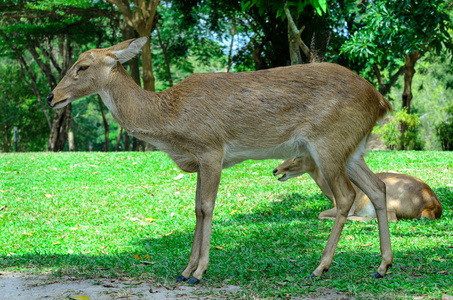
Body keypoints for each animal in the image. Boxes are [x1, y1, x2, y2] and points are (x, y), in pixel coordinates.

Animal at [45, 37, 392, 284]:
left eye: (82, 66)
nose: (51, 96)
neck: (168, 121)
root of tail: (380, 100)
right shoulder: (200, 161)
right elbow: (196, 209)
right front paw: (184, 271)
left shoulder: (211, 149)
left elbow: (206, 207)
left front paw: (198, 272)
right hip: (354, 149)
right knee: (377, 188)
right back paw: (382, 265)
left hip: (329, 143)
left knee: (345, 195)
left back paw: (320, 267)